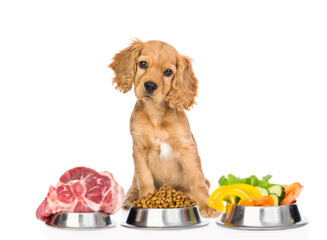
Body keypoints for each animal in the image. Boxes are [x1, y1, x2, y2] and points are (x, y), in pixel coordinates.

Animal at [109, 39, 219, 218]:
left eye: (168, 72)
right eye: (143, 64)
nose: (150, 86)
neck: (155, 114)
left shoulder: (187, 148)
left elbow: (197, 180)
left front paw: (207, 206)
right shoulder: (139, 150)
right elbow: (144, 180)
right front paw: (144, 201)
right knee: (134, 184)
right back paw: (130, 199)